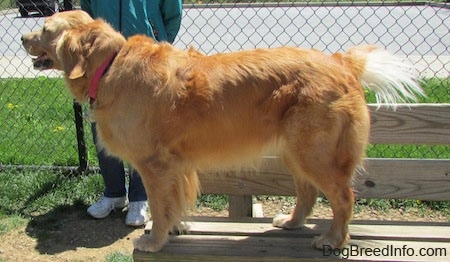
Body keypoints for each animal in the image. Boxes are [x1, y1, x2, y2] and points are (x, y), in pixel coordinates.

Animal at [22, 11, 422, 253]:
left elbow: (159, 204)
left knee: (343, 196)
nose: (23, 37)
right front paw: (177, 228)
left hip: (314, 152)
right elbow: (175, 202)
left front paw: (154, 241)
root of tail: (341, 62)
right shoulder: (174, 165)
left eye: (45, 29)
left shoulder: (153, 164)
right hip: (294, 151)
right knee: (308, 193)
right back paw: (292, 223)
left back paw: (334, 240)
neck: (109, 66)